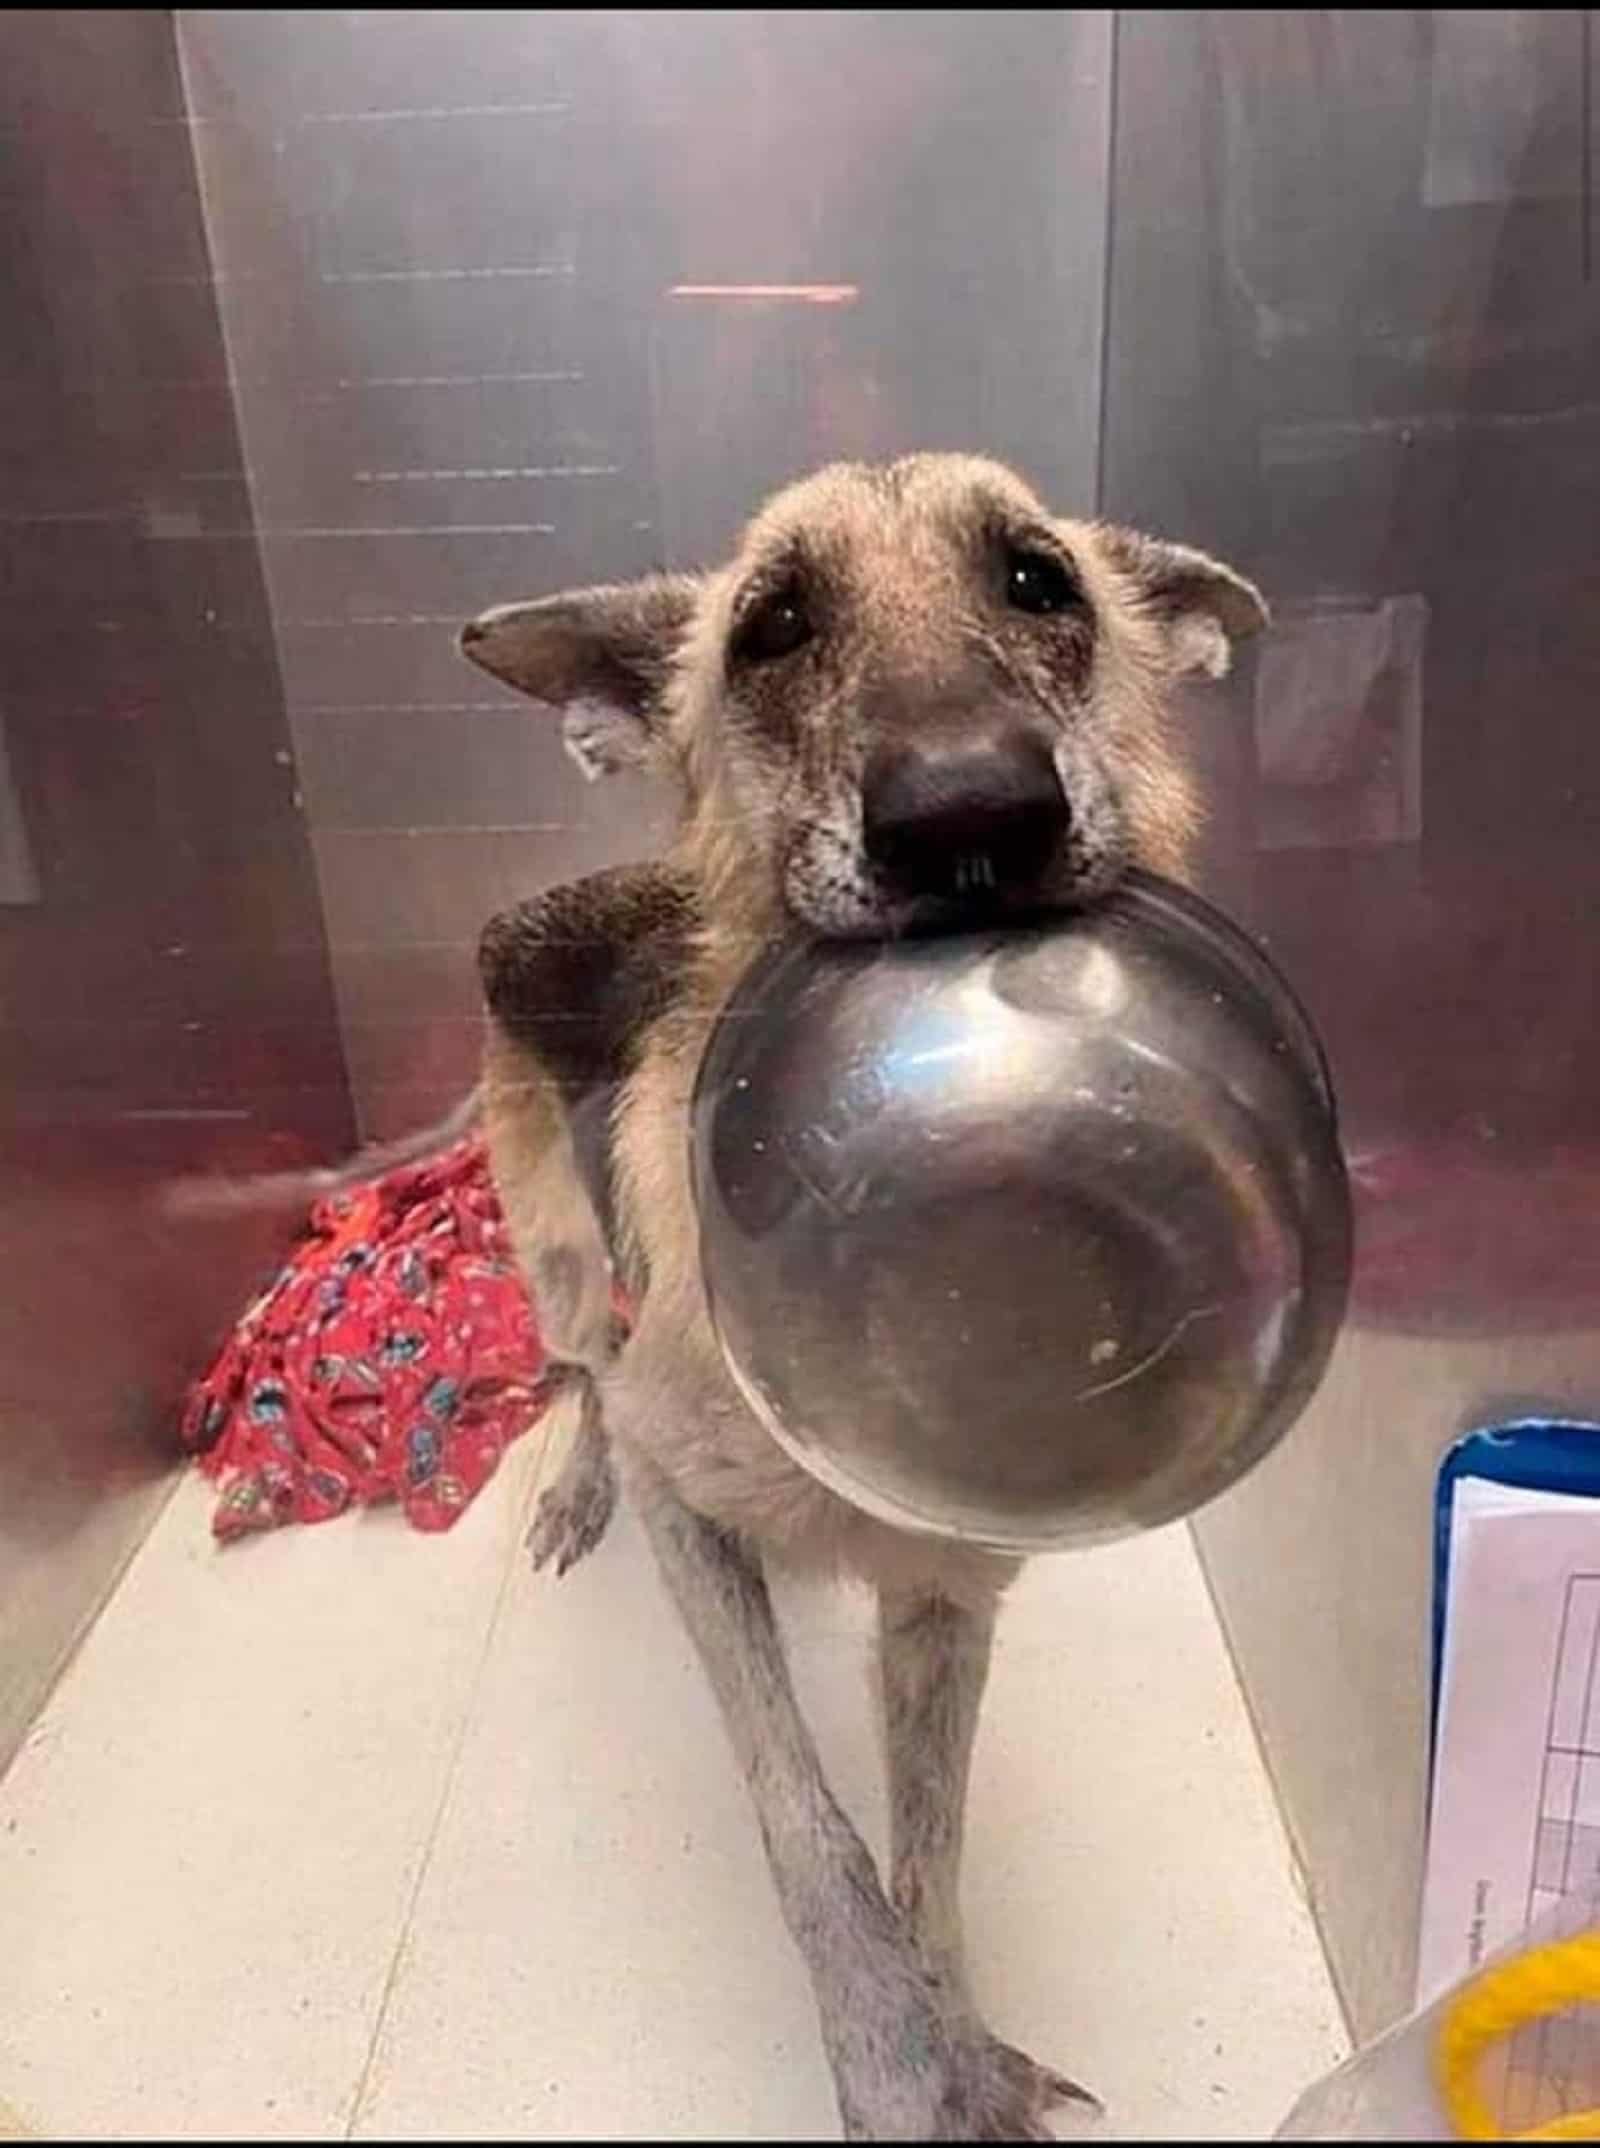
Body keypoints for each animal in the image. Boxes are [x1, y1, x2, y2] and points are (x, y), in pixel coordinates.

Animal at [455, 453, 1262, 2130]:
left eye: (1038, 582)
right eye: (769, 627)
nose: (971, 817)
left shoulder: (951, 1601)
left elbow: (930, 1859)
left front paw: (964, 2041)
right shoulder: (693, 1523)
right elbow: (809, 1830)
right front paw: (891, 2060)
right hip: (556, 1258)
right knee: (580, 1371)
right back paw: (569, 1482)